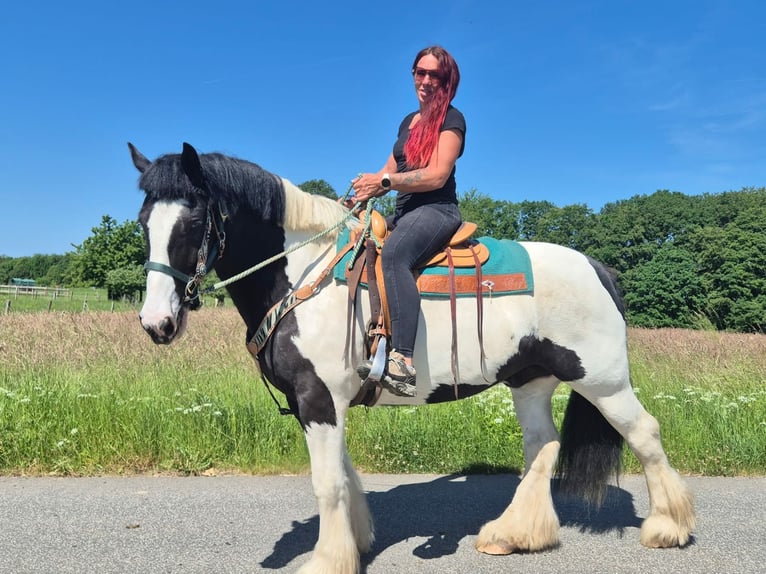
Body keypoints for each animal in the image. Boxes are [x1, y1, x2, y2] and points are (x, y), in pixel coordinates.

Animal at [129, 142, 695, 574]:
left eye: (194, 220)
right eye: (143, 222)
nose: (157, 323)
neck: (304, 275)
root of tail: (598, 267)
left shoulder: (318, 399)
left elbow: (327, 483)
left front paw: (327, 560)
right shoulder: (325, 404)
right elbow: (346, 476)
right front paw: (356, 543)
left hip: (602, 380)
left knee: (645, 433)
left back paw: (668, 527)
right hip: (530, 380)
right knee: (543, 446)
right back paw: (514, 535)